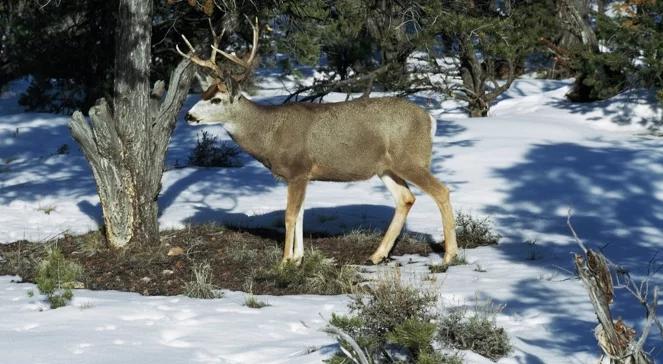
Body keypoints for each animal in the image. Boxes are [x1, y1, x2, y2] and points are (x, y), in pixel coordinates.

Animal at [176, 19, 456, 264]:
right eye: (203, 93)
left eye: (216, 100)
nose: (188, 116)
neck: (269, 132)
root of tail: (430, 119)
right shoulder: (303, 176)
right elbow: (300, 214)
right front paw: (298, 258)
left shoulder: (298, 169)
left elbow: (290, 215)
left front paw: (284, 261)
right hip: (385, 167)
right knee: (406, 198)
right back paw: (376, 255)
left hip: (411, 159)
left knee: (441, 191)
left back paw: (449, 256)